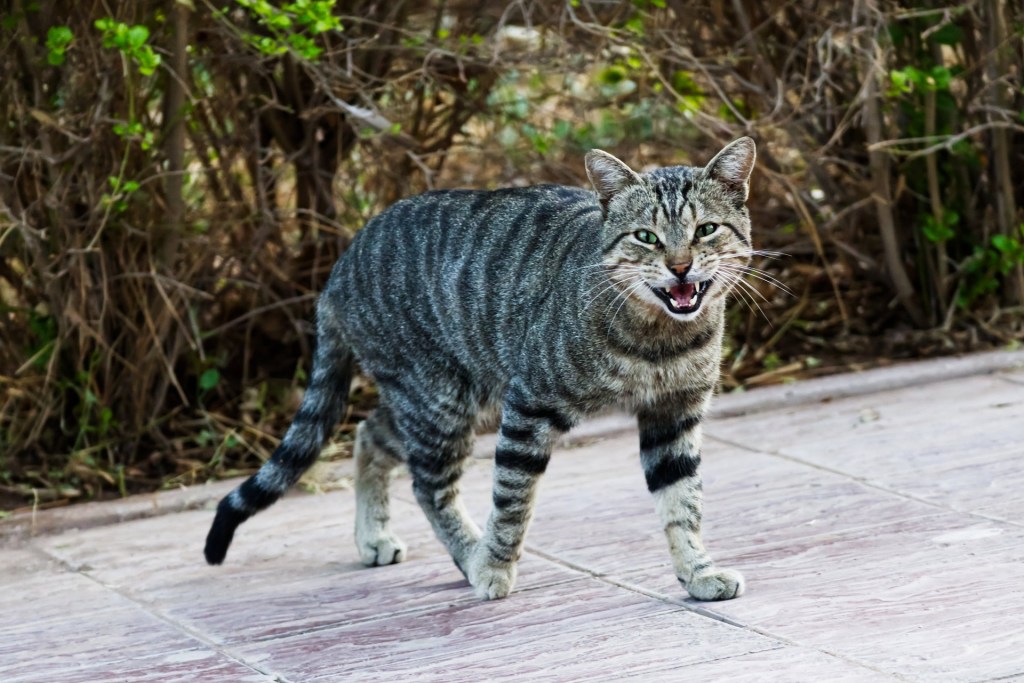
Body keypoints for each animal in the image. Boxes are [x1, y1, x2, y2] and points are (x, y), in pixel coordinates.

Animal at [203, 136, 757, 602]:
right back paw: (471, 554)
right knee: (428, 485)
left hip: (439, 399)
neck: (659, 338)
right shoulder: (530, 406)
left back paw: (374, 535)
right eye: (646, 236)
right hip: (440, 401)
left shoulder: (673, 416)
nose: (680, 267)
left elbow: (683, 505)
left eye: (706, 230)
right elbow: (512, 502)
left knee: (369, 432)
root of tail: (339, 266)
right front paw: (493, 567)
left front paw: (699, 573)